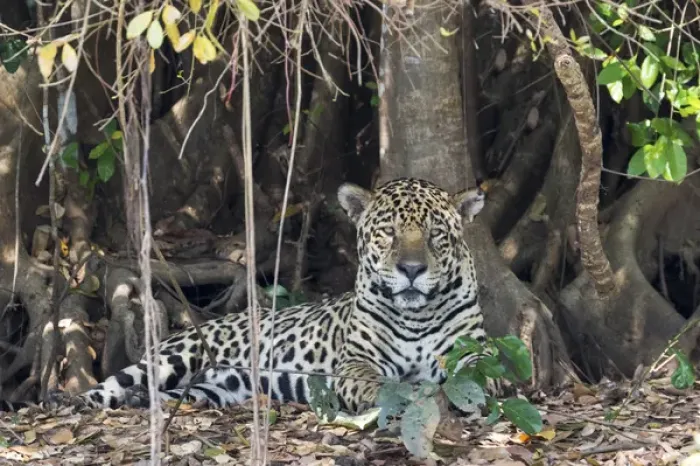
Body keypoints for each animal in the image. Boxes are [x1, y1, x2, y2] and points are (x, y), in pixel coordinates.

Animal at [29, 177, 490, 414]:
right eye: (388, 232)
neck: (416, 315)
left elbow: (479, 377)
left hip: (220, 385)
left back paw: (143, 400)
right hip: (171, 357)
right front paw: (394, 396)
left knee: (182, 393)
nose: (411, 270)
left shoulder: (476, 352)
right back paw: (66, 400)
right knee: (111, 385)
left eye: (435, 235)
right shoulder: (358, 361)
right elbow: (373, 383)